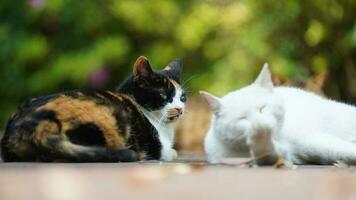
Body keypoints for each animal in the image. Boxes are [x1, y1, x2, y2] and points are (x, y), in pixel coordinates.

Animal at [202, 65, 356, 165]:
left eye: (262, 108)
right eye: (242, 118)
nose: (261, 124)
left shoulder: (312, 140)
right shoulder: (282, 155)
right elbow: (266, 155)